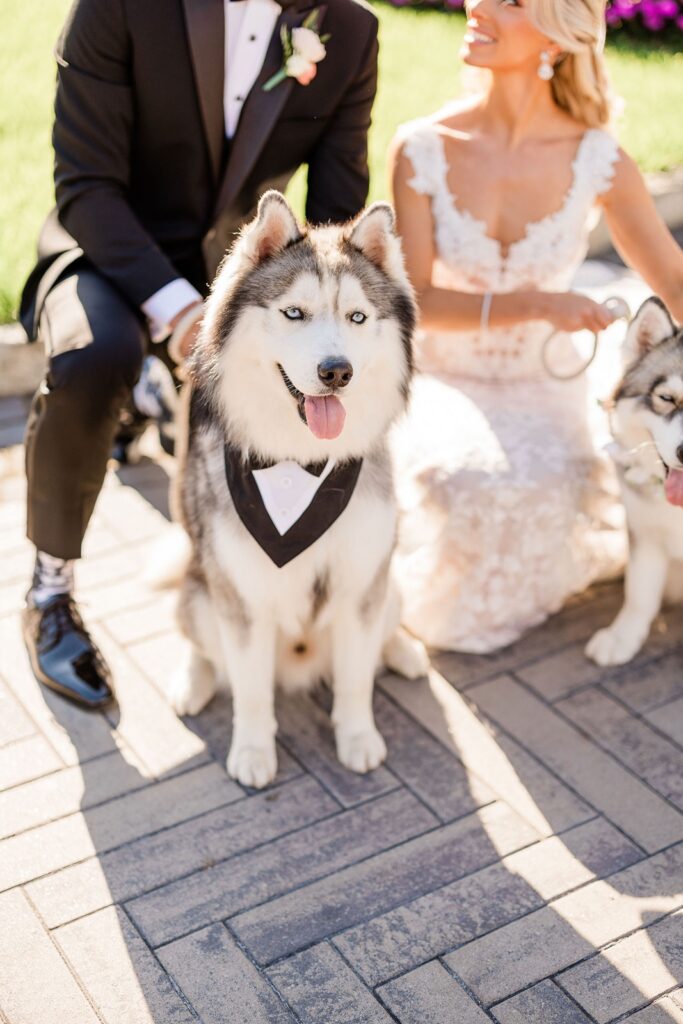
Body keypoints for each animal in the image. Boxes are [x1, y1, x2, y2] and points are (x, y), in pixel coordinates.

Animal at [167, 191, 428, 788]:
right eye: (294, 313)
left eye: (357, 317)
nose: (337, 372)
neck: (300, 465)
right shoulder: (242, 598)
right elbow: (250, 690)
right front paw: (253, 750)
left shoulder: (360, 583)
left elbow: (355, 679)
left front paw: (358, 738)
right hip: (201, 590)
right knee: (202, 644)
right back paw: (191, 681)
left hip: (389, 583)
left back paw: (403, 650)